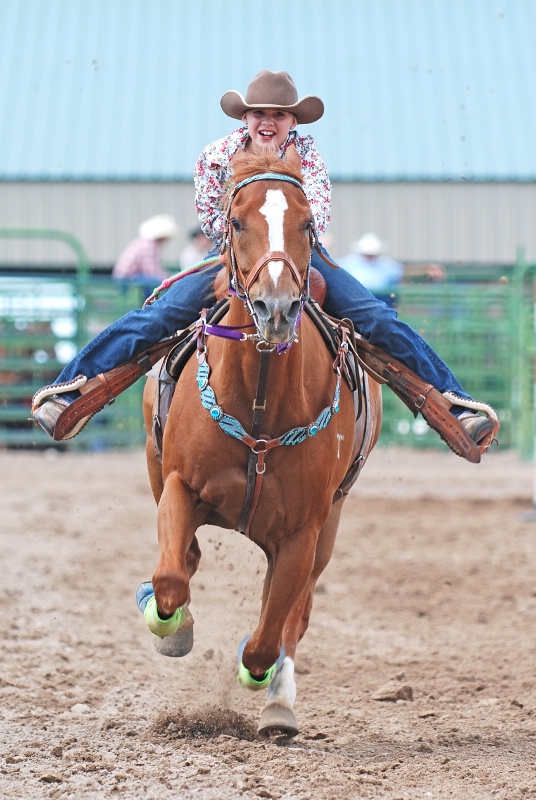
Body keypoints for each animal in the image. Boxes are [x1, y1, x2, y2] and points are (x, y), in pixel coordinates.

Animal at [142, 150, 384, 736]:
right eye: (235, 222)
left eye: (308, 224)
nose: (275, 308)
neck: (259, 405)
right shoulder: (179, 485)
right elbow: (170, 576)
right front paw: (172, 629)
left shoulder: (303, 533)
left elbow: (270, 634)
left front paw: (262, 681)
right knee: (186, 558)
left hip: (328, 527)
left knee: (294, 615)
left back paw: (279, 705)